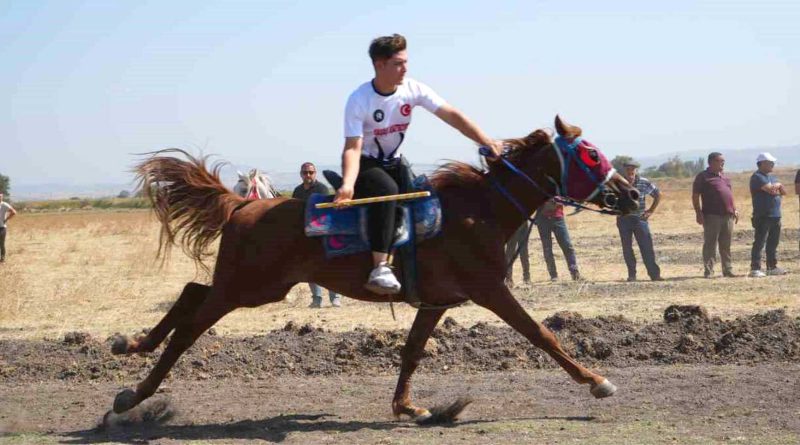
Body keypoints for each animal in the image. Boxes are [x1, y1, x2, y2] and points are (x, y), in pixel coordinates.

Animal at [111, 116, 636, 422]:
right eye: (591, 155)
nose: (631, 195)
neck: (480, 210)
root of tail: (244, 205)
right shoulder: (491, 290)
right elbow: (541, 334)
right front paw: (596, 382)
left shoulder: (436, 302)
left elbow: (412, 352)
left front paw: (408, 406)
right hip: (247, 288)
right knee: (189, 325)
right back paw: (134, 394)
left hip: (253, 286)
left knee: (190, 291)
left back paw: (130, 344)